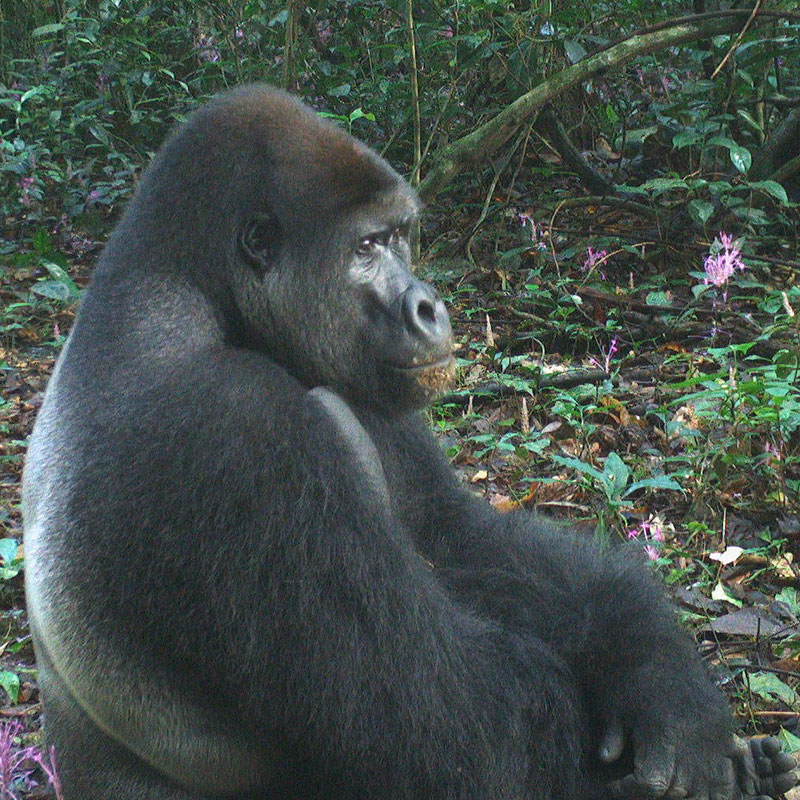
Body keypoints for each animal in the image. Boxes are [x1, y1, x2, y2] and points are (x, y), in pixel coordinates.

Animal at [21, 86, 796, 800]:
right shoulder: (235, 423)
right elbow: (453, 734)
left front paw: (659, 676)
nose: (429, 305)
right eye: (366, 247)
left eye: (399, 236)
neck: (187, 287)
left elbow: (457, 535)